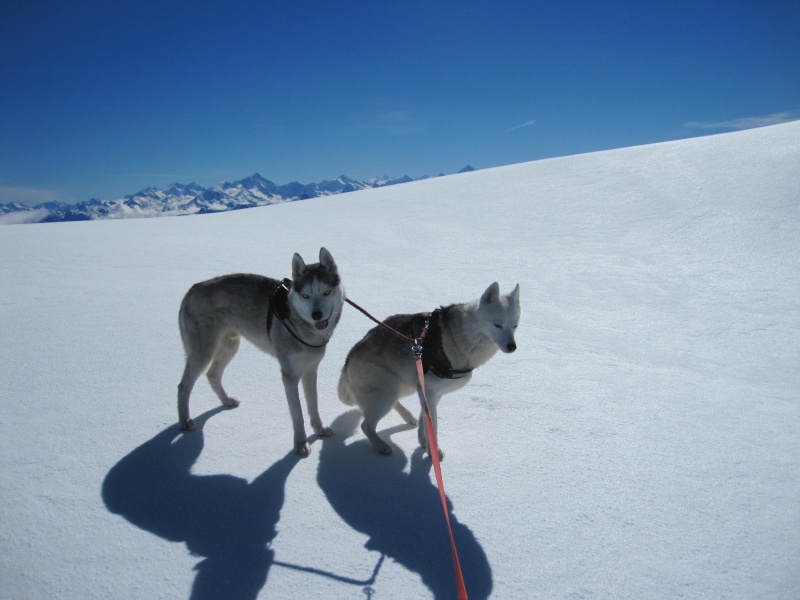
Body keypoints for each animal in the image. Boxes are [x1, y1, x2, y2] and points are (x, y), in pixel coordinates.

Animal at [177, 246, 342, 458]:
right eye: (305, 295)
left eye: (326, 292)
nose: (317, 315)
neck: (301, 326)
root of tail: (192, 289)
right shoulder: (289, 376)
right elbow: (297, 414)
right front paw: (300, 444)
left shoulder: (310, 369)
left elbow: (313, 404)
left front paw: (319, 428)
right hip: (204, 352)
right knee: (183, 386)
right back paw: (185, 421)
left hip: (230, 346)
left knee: (213, 374)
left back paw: (226, 400)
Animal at [338, 284, 520, 458]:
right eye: (497, 325)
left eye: (515, 326)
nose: (512, 347)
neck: (461, 336)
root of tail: (348, 359)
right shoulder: (429, 390)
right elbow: (433, 424)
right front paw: (434, 451)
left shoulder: (428, 391)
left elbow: (425, 420)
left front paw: (425, 443)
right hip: (385, 393)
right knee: (366, 425)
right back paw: (381, 445)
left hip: (401, 387)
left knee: (391, 405)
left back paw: (408, 416)